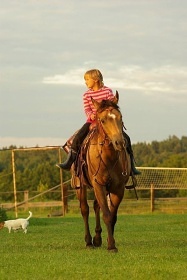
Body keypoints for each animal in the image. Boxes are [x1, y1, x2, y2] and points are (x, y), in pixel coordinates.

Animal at [70, 91, 133, 252]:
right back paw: (88, 242)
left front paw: (111, 242)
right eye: (103, 120)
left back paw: (97, 239)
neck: (108, 157)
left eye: (120, 117)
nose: (119, 143)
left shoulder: (118, 188)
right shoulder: (98, 184)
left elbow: (112, 216)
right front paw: (111, 246)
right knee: (85, 209)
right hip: (80, 186)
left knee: (95, 206)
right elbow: (106, 214)